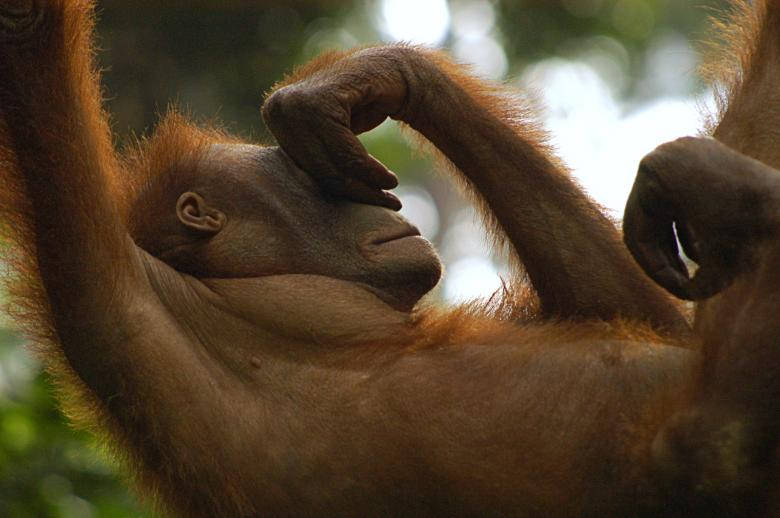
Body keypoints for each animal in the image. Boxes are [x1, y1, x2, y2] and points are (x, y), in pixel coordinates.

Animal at [0, 0, 777, 516]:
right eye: (306, 180)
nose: (390, 205)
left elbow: (662, 323)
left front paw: (369, 79)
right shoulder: (122, 300)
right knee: (712, 440)